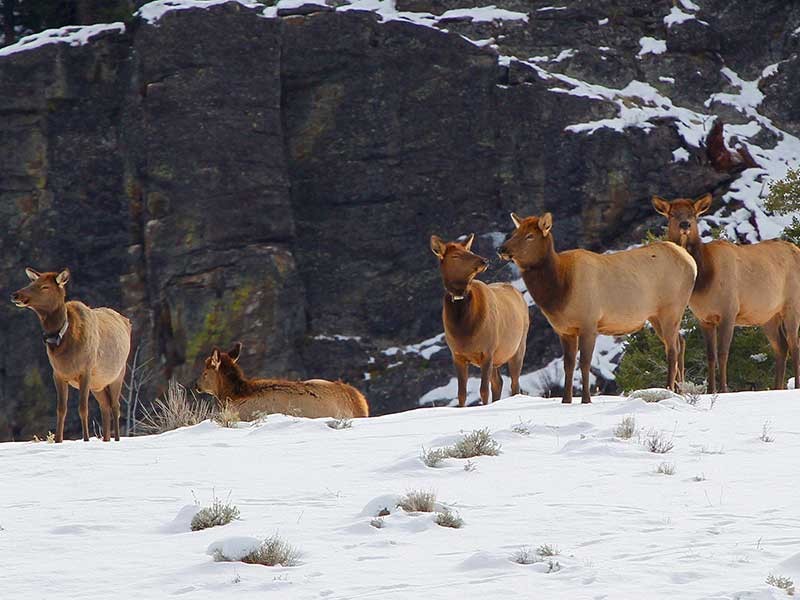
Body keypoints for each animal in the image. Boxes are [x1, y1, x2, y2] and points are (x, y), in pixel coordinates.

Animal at [11, 268, 131, 442]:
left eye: (45, 287)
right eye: (31, 282)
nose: (16, 295)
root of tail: (126, 321)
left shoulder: (86, 370)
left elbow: (83, 408)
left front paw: (86, 439)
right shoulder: (58, 374)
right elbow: (61, 409)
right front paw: (58, 440)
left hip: (118, 373)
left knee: (116, 405)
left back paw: (117, 439)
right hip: (98, 384)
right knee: (105, 405)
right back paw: (106, 439)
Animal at [430, 234, 529, 407]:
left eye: (469, 250)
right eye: (455, 256)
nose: (484, 260)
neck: (463, 329)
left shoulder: (487, 351)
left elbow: (483, 391)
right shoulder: (457, 355)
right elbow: (461, 394)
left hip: (518, 347)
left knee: (514, 384)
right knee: (498, 382)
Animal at [498, 212, 696, 403]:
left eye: (530, 236)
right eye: (514, 232)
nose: (502, 249)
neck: (560, 292)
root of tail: (692, 263)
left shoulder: (589, 322)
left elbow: (584, 362)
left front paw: (586, 399)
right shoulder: (565, 331)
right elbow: (568, 365)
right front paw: (566, 400)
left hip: (671, 308)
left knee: (672, 349)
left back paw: (669, 389)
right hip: (656, 316)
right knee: (680, 341)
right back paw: (680, 389)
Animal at [653, 193, 800, 392]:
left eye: (693, 214)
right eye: (672, 214)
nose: (685, 224)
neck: (704, 280)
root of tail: (796, 249)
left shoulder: (729, 311)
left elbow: (723, 353)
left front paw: (723, 389)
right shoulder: (704, 318)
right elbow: (710, 355)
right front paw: (710, 390)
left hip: (792, 304)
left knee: (794, 344)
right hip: (768, 315)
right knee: (782, 347)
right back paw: (777, 387)